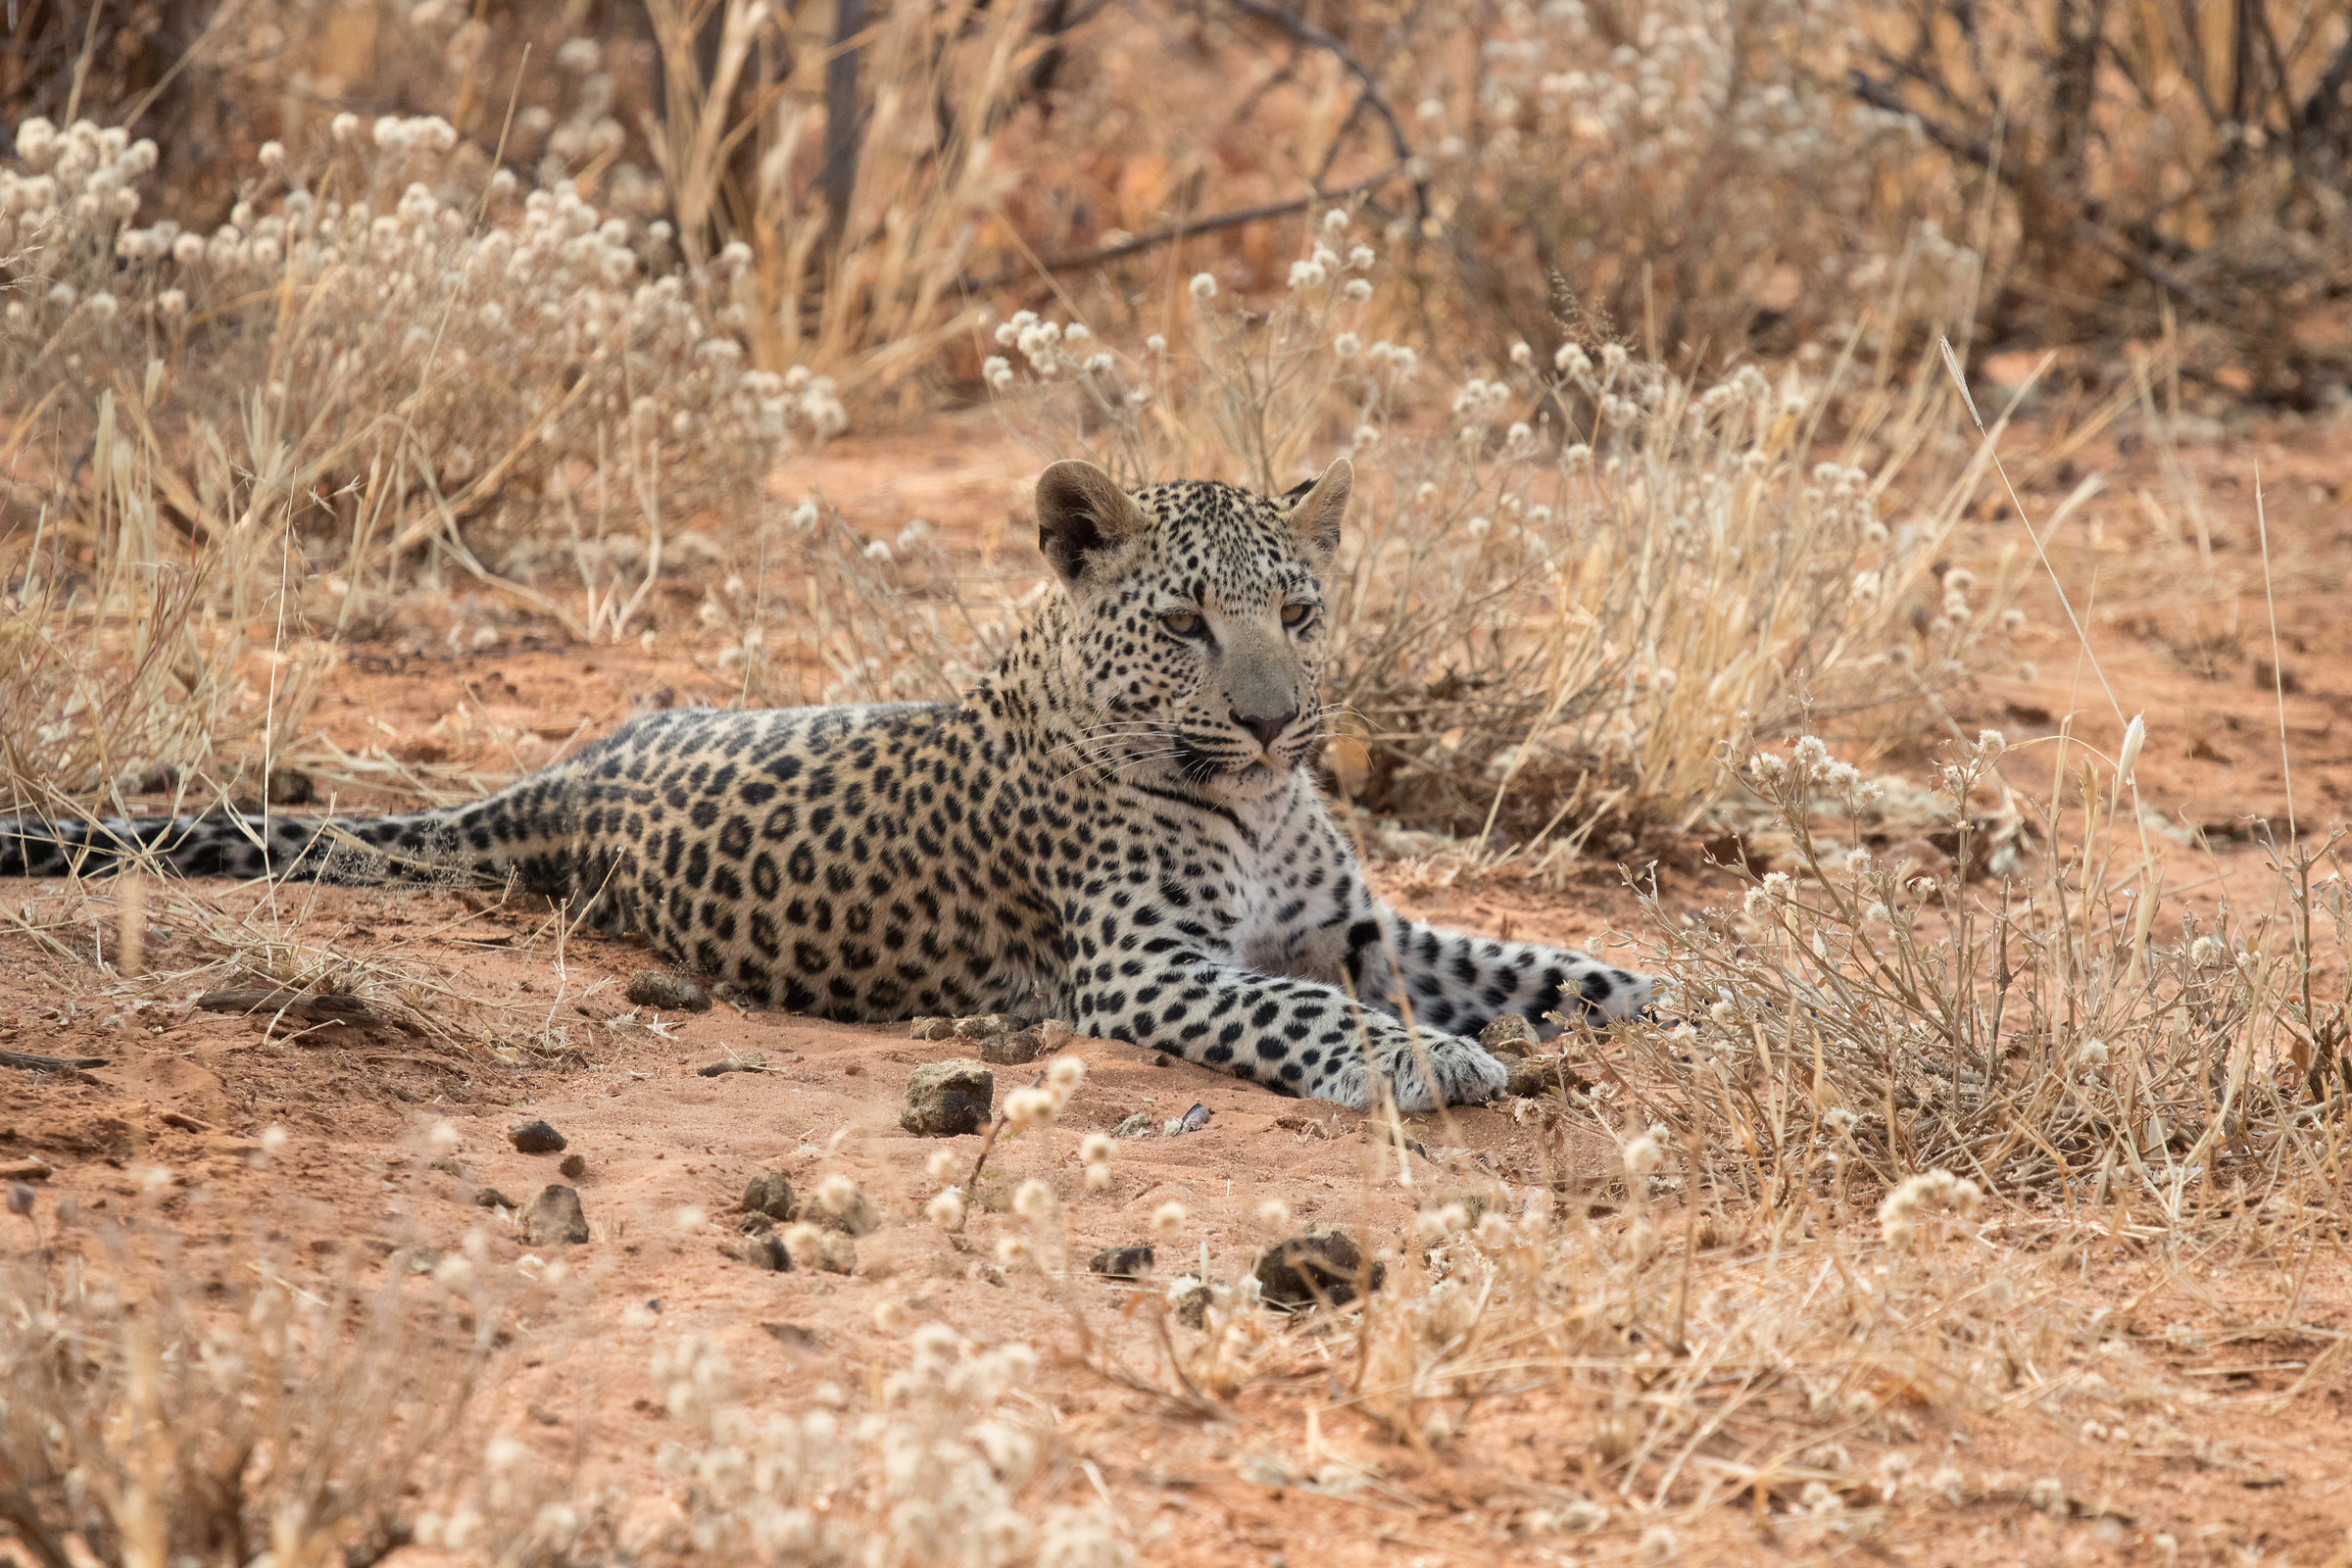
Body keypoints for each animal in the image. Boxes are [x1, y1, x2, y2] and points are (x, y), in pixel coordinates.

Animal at [1, 457, 1658, 1110]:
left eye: (1300, 614)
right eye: (1189, 624)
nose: (1276, 722)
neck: (1248, 805)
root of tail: (555, 779)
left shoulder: (1361, 926)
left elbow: (1541, 963)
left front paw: (1676, 1001)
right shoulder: (1142, 967)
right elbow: (1306, 1011)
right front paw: (1426, 1061)